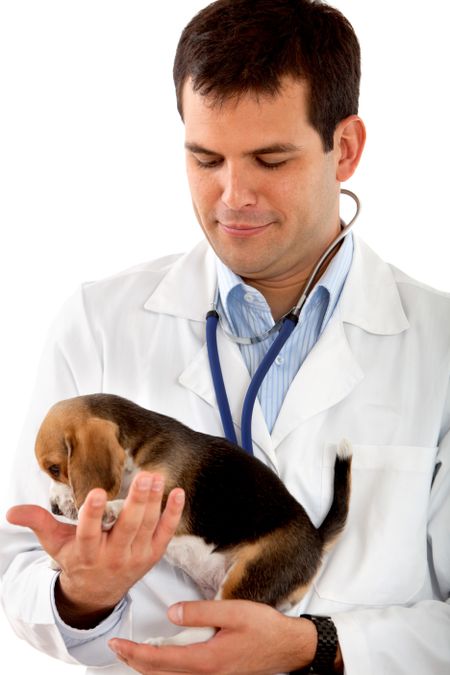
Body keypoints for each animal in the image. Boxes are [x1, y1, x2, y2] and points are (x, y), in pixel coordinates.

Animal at [36, 394, 352, 648]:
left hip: (249, 574)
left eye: (55, 468)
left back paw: (168, 644)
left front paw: (108, 510)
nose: (54, 509)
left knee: (212, 628)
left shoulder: (171, 503)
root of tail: (316, 539)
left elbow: (128, 507)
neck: (136, 452)